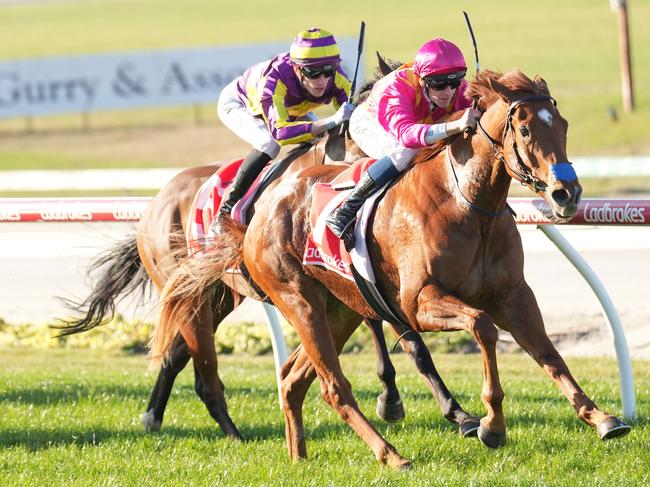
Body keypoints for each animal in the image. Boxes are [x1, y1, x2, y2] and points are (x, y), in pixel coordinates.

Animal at [152, 68, 628, 468]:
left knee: (292, 379)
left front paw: (601, 417)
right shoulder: (417, 302)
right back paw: (390, 454)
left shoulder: (512, 294)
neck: (467, 203)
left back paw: (298, 456)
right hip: (295, 299)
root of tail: (258, 211)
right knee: (332, 386)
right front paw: (489, 425)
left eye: (563, 125)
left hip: (337, 309)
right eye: (526, 128)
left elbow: (549, 354)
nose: (566, 192)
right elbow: (481, 328)